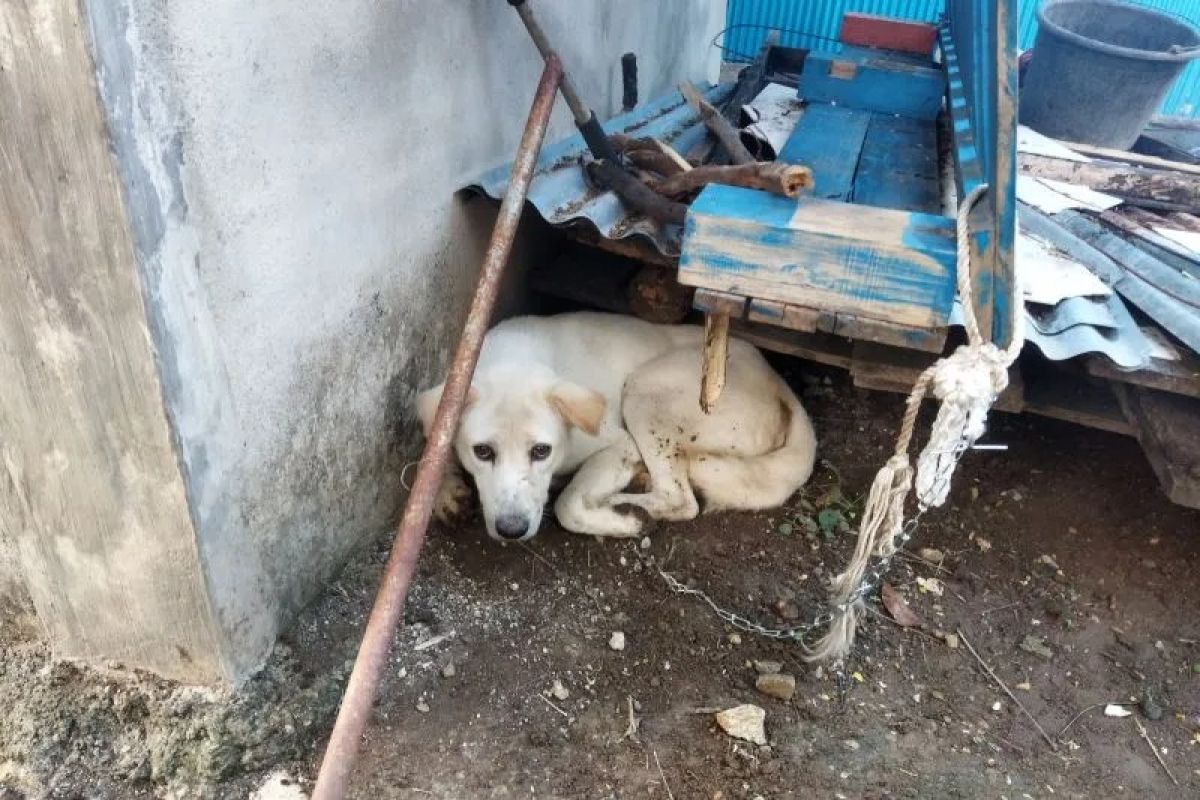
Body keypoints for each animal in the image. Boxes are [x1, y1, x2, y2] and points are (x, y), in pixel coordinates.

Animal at [417, 309, 820, 542]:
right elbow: (432, 448)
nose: (511, 531)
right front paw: (445, 491)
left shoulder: (619, 444)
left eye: (541, 451)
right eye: (482, 451)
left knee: (680, 499)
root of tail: (780, 385)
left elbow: (566, 504)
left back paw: (629, 504)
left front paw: (622, 521)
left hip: (645, 391)